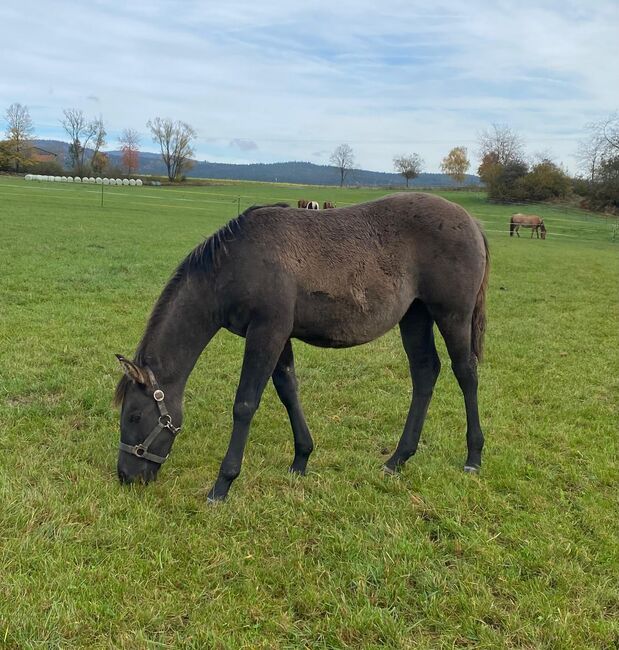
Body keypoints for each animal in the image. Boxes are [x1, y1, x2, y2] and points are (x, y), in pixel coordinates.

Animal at [112, 192, 490, 502]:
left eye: (133, 415)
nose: (126, 476)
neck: (235, 263)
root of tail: (470, 221)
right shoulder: (278, 336)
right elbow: (288, 390)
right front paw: (301, 459)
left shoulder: (266, 332)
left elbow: (245, 404)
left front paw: (223, 484)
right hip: (415, 316)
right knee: (425, 372)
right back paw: (398, 458)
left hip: (452, 315)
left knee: (466, 373)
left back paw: (473, 457)